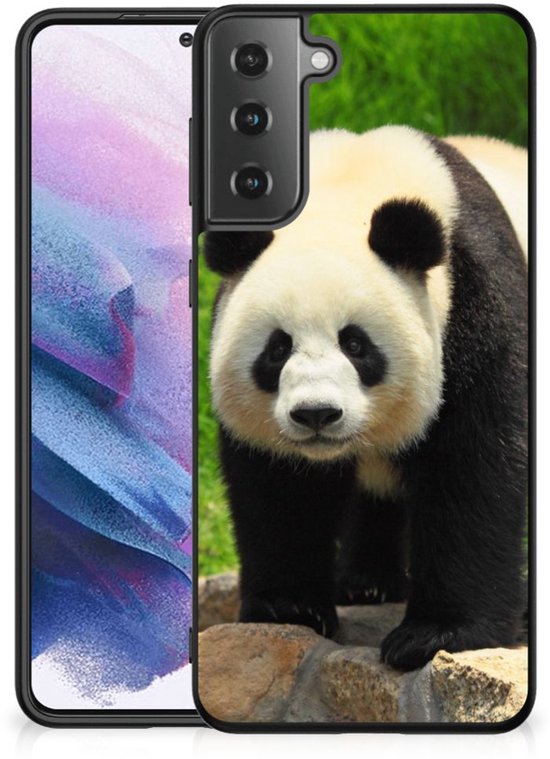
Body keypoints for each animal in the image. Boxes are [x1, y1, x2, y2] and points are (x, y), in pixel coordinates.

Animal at [203, 126, 528, 671]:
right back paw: (367, 583)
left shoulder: (477, 302)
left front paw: (434, 634)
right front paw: (290, 608)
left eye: (355, 344)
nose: (316, 414)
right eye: (277, 348)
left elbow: (476, 467)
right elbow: (279, 488)